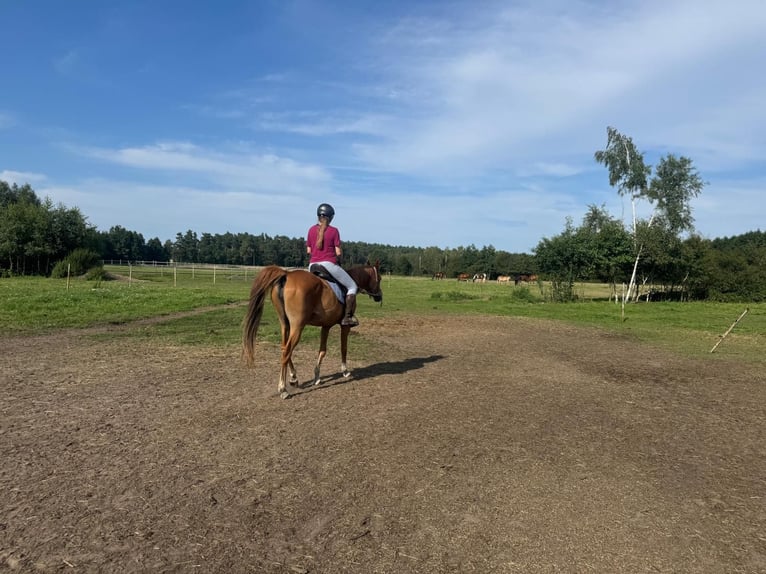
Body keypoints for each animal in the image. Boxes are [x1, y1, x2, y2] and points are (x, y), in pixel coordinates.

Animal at [242, 261, 383, 399]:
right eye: (380, 278)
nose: (379, 296)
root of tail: (286, 274)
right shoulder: (345, 326)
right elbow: (344, 348)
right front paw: (345, 370)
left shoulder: (326, 326)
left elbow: (322, 350)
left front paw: (317, 376)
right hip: (297, 326)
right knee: (287, 351)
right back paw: (283, 389)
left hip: (285, 324)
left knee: (284, 348)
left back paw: (294, 378)